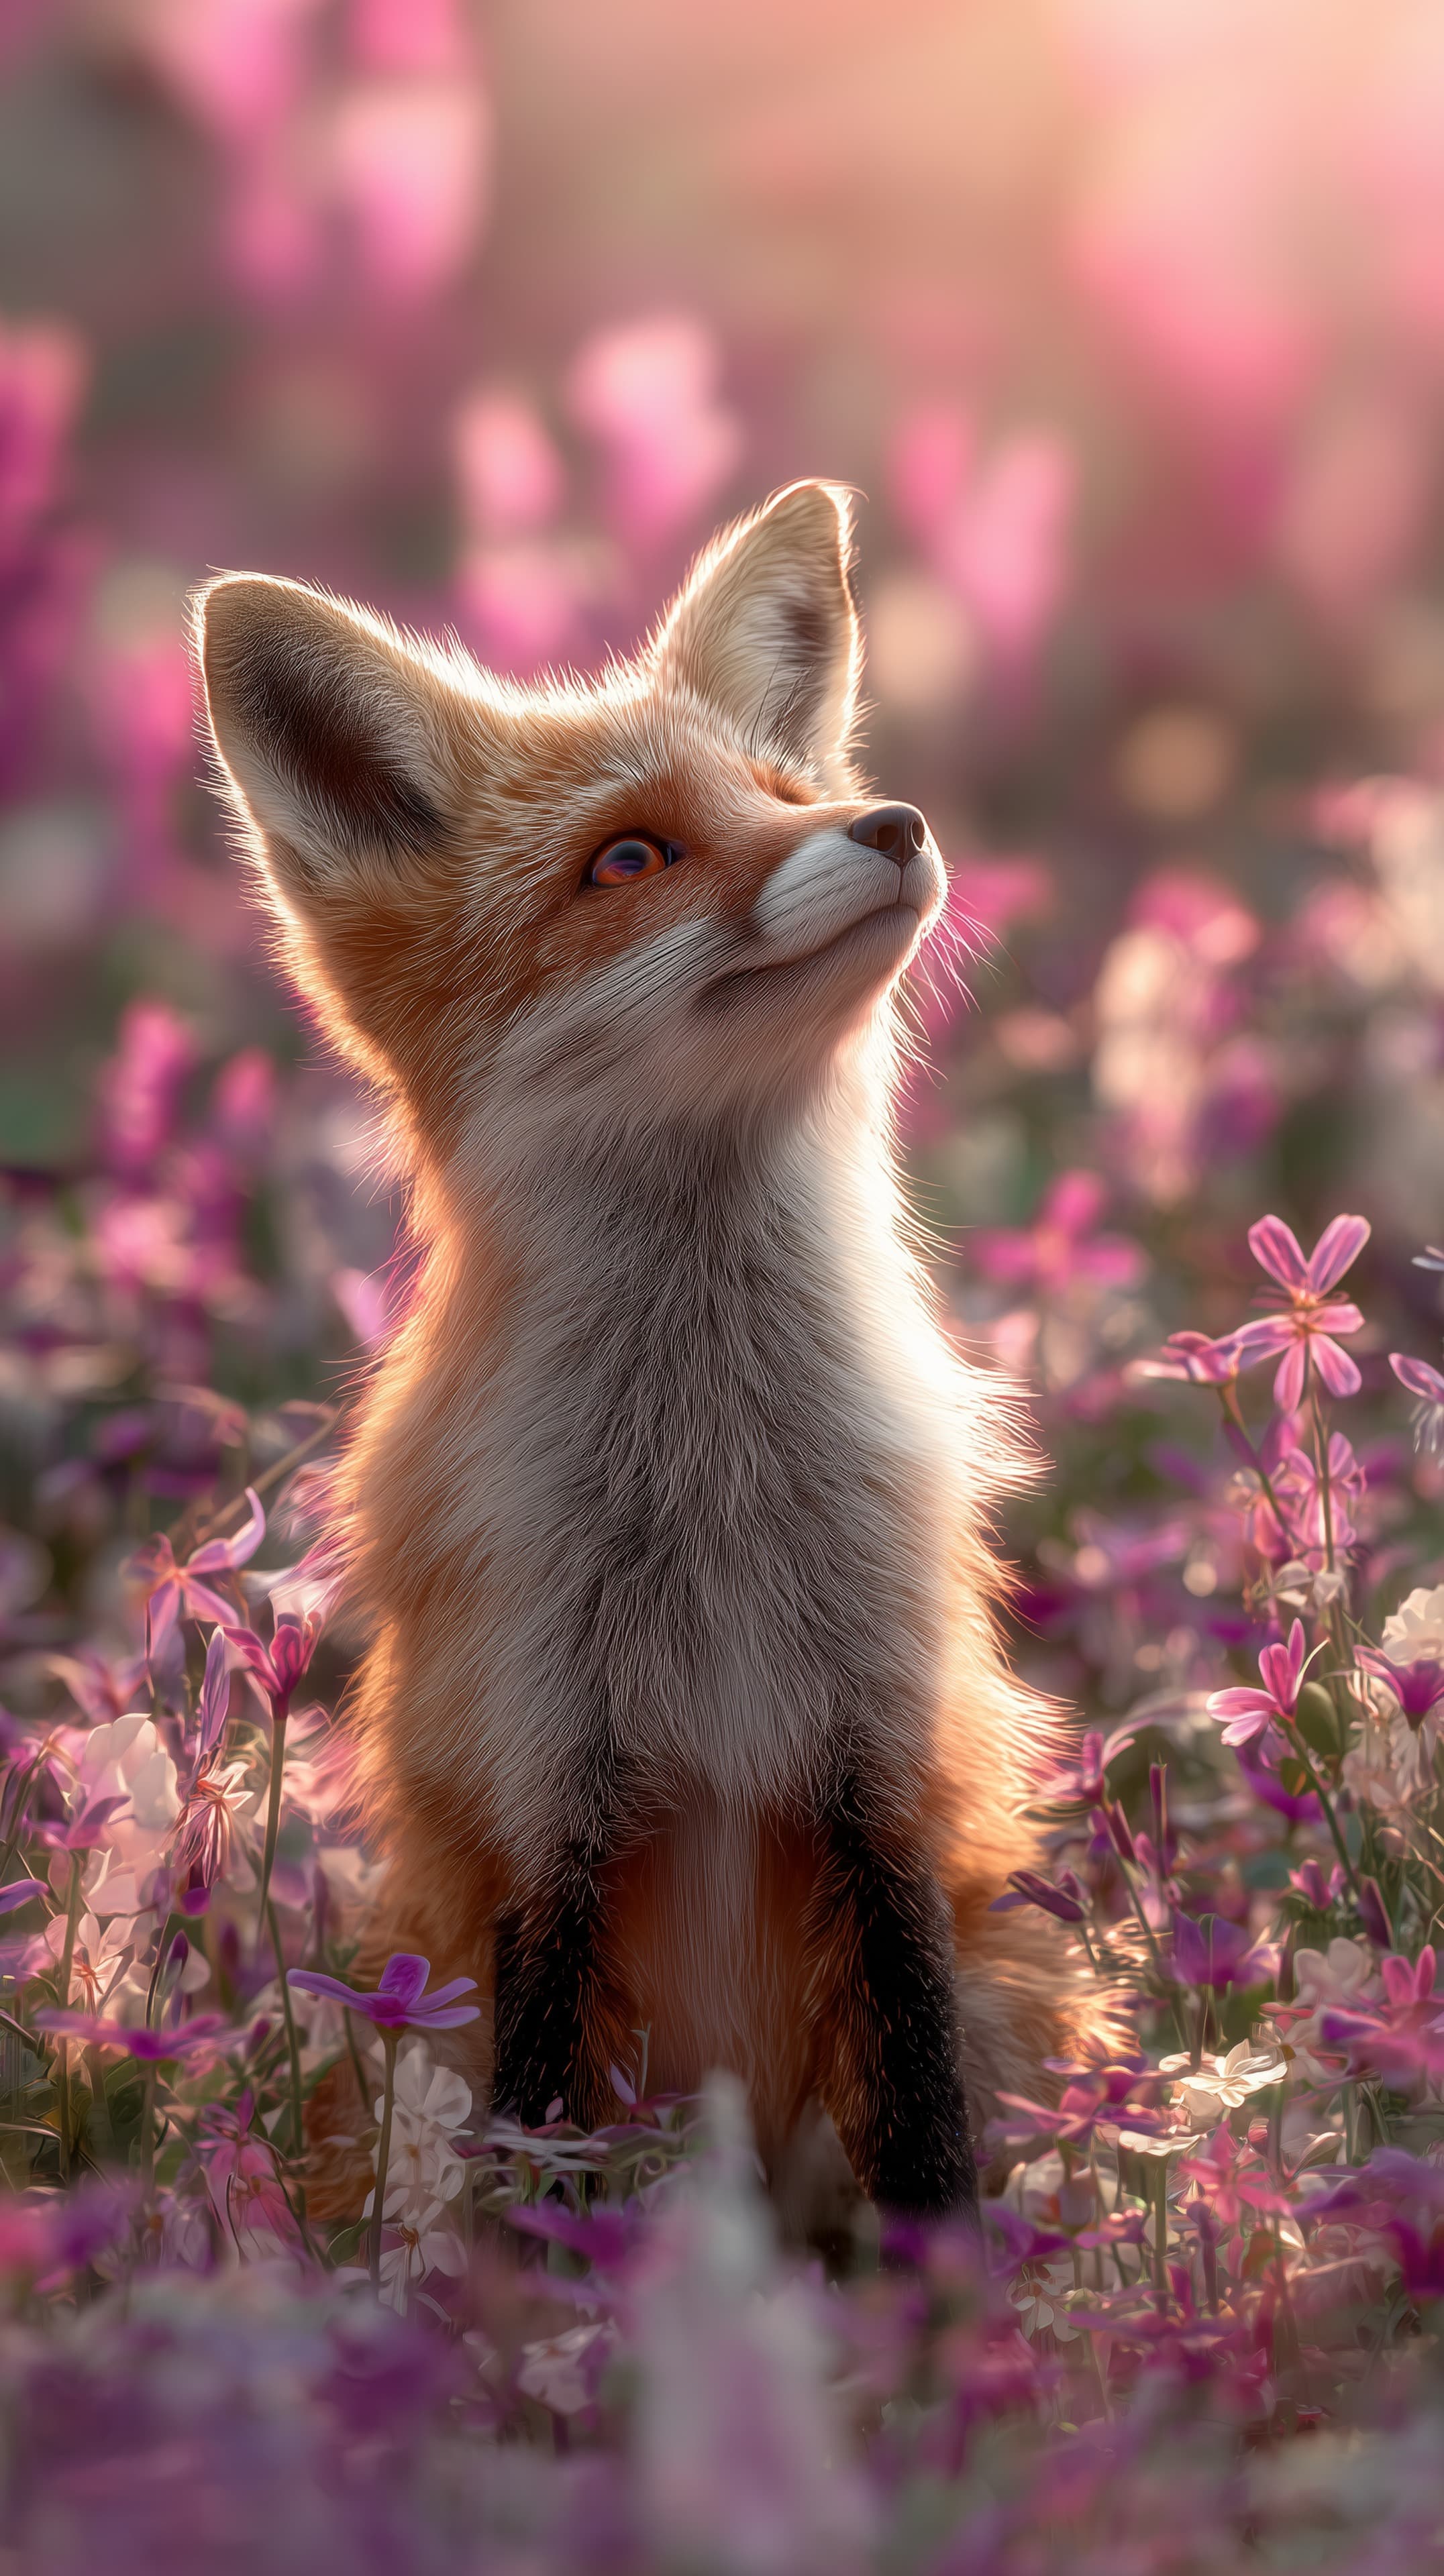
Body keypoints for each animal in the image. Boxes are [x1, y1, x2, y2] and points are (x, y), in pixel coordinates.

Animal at [196, 481, 1099, 2222]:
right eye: (630, 857)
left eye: (788, 792)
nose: (890, 825)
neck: (713, 1485)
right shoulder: (545, 1796)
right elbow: (538, 2131)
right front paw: (539, 2305)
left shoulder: (884, 1762)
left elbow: (927, 2116)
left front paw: (959, 2296)